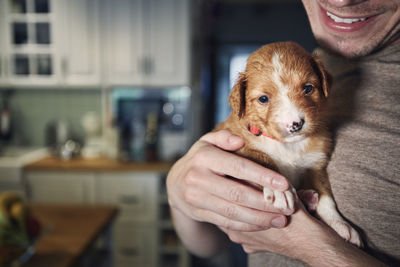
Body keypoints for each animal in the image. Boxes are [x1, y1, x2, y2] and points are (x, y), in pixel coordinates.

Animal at [216, 41, 362, 247]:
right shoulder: (234, 139)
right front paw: (280, 189)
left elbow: (326, 195)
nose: (295, 124)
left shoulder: (316, 163)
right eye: (263, 99)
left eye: (308, 88)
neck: (289, 145)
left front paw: (340, 223)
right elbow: (260, 155)